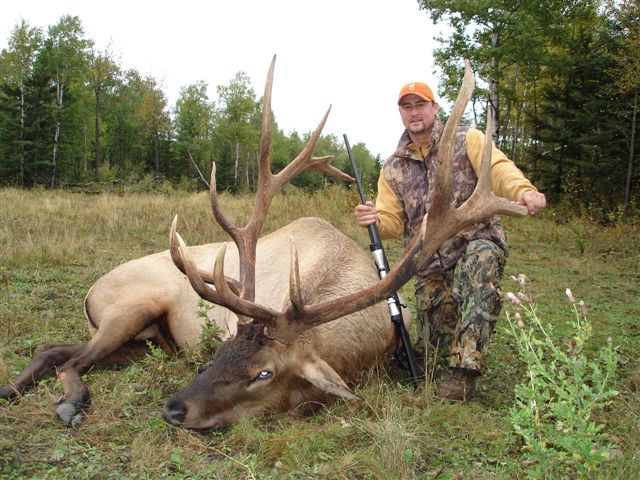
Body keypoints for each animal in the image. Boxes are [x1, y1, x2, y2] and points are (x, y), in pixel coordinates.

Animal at [0, 56, 528, 430]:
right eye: (223, 349)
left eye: (264, 373)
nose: (174, 409)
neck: (363, 346)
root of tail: (90, 291)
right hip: (130, 305)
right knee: (73, 358)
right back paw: (69, 403)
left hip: (148, 341)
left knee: (57, 349)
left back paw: (15, 388)